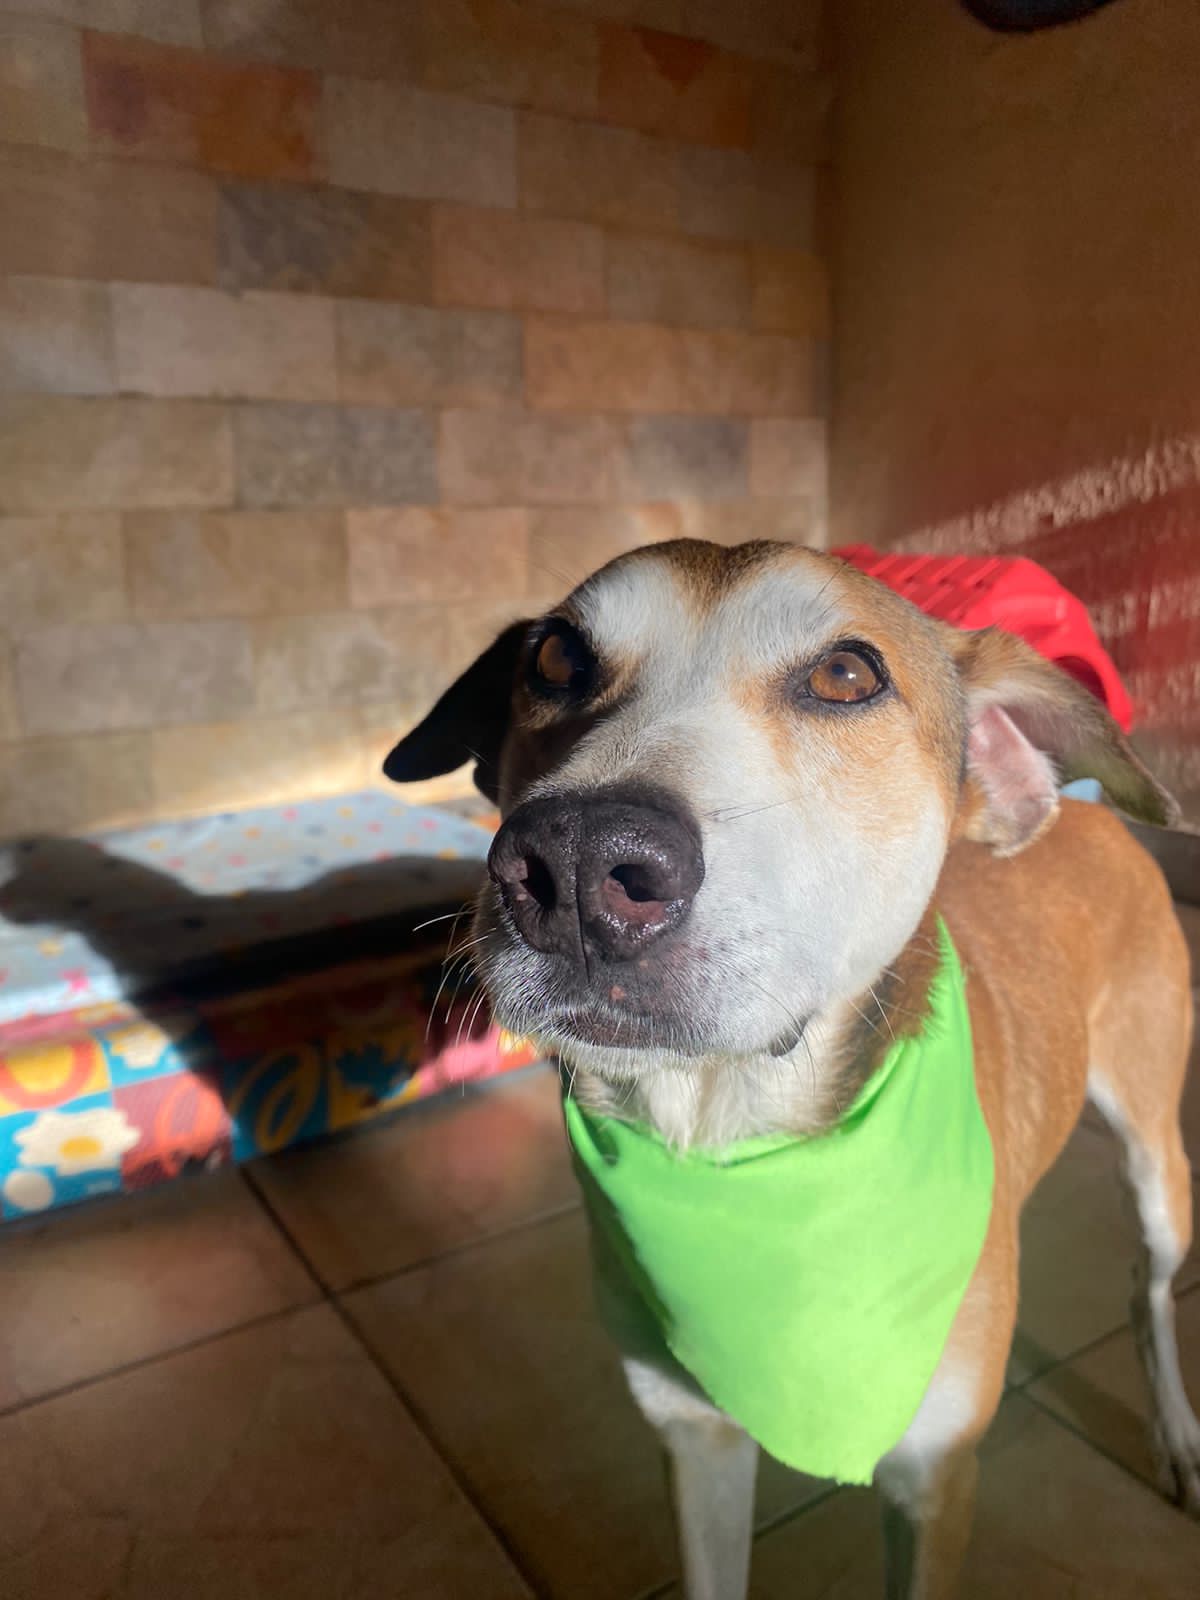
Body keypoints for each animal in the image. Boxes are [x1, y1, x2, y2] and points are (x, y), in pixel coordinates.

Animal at [384, 539, 1197, 1599]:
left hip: (1157, 1160)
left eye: (847, 675)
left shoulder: (935, 1484)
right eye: (555, 658)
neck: (729, 1139)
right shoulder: (697, 1451)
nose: (576, 863)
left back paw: (1175, 1431)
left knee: (1149, 1287)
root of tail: (1092, 817)